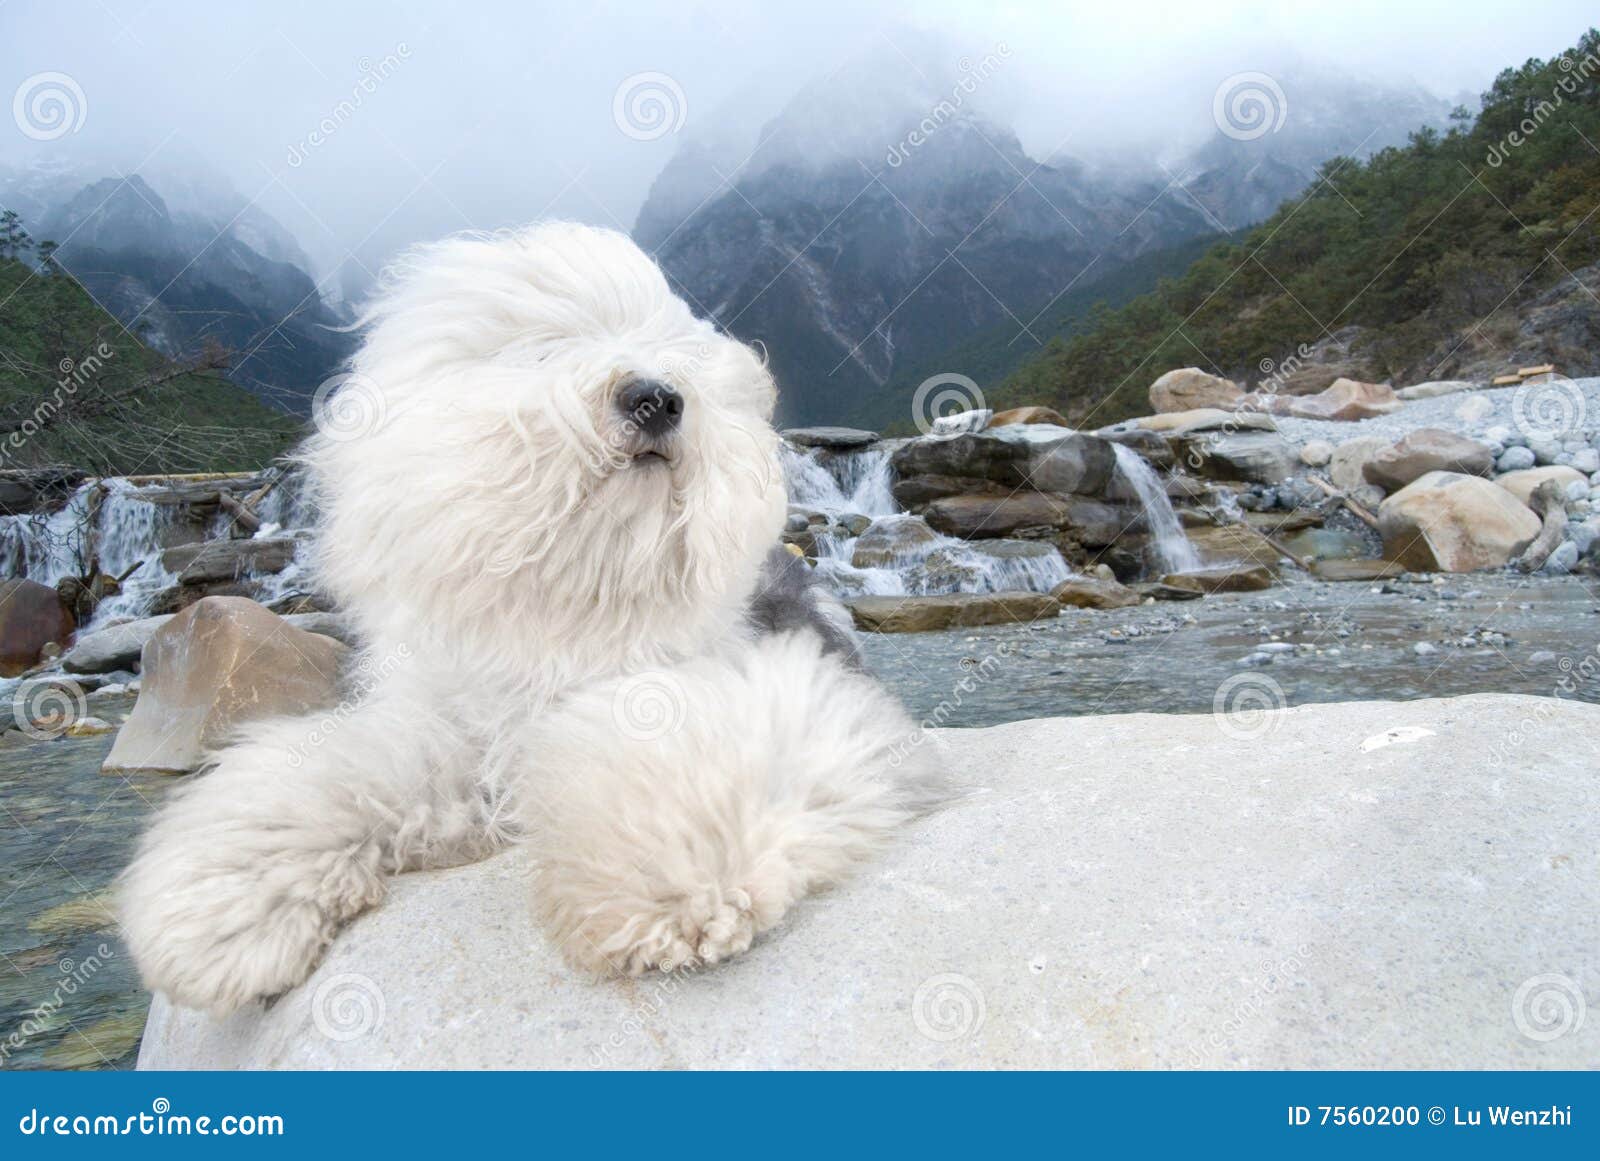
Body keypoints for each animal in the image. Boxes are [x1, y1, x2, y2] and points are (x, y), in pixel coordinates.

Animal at [124, 222, 947, 1017]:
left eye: (675, 357)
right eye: (548, 349)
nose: (657, 398)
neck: (577, 608)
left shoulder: (790, 691)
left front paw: (661, 886)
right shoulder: (456, 734)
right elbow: (337, 772)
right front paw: (220, 911)